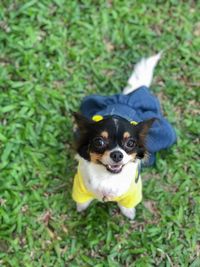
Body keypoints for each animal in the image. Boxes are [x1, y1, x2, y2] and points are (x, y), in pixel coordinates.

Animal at [72, 54, 176, 220]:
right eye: (99, 142)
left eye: (131, 143)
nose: (117, 154)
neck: (108, 178)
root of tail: (126, 101)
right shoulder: (80, 187)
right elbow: (82, 201)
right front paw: (81, 207)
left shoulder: (133, 192)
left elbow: (126, 204)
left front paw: (128, 212)